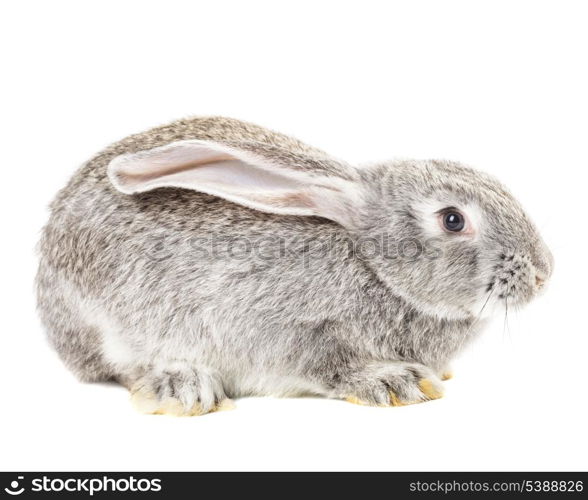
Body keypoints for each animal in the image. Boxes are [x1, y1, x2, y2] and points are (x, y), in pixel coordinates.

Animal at [35, 116, 552, 414]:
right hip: (104, 323)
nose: (543, 275)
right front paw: (394, 382)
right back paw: (182, 386)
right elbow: (328, 364)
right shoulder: (290, 329)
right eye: (452, 219)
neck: (371, 263)